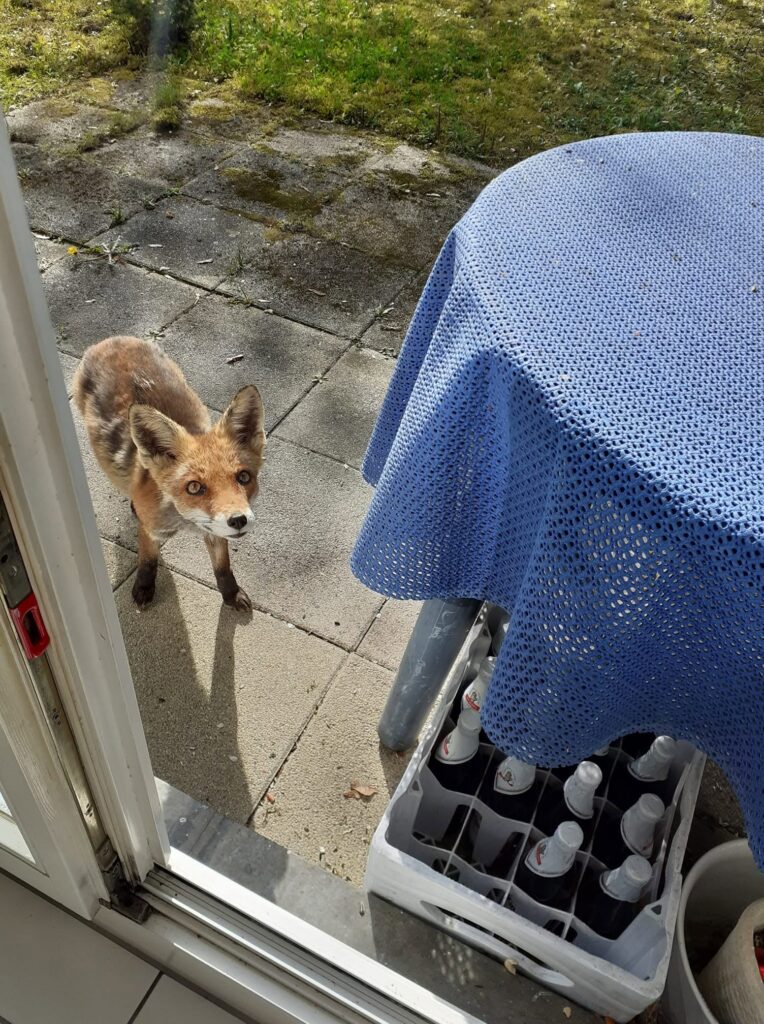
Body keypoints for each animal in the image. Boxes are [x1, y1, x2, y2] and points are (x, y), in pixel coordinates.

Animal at [73, 336, 265, 611]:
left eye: (244, 477)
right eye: (194, 487)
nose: (238, 520)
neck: (184, 520)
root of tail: (112, 340)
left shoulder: (215, 531)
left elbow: (223, 568)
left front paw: (231, 594)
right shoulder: (151, 531)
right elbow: (147, 561)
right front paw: (144, 588)